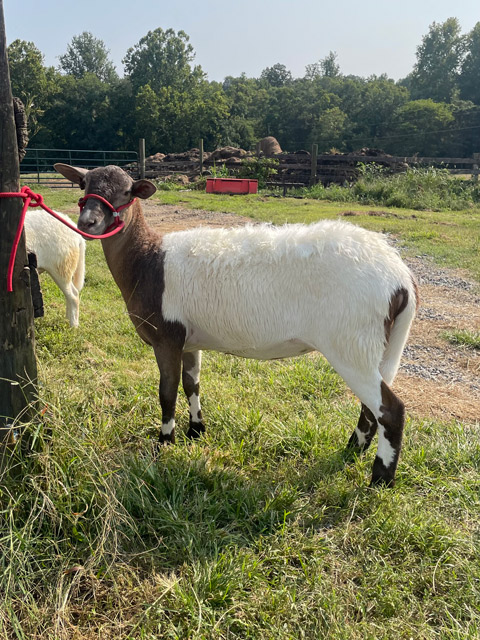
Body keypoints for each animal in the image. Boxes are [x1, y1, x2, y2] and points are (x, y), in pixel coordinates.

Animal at [54, 163, 418, 487]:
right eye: (84, 186)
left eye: (126, 193)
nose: (88, 222)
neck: (147, 260)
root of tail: (401, 279)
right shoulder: (189, 338)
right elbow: (192, 383)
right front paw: (196, 430)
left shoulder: (166, 336)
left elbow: (166, 392)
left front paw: (164, 443)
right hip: (375, 344)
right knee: (371, 407)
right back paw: (352, 450)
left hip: (351, 341)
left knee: (390, 410)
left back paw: (379, 479)